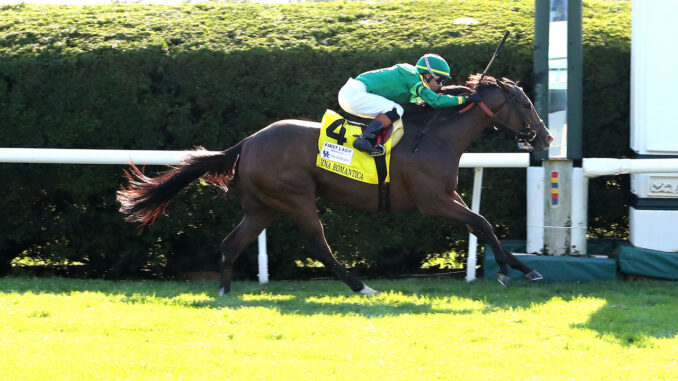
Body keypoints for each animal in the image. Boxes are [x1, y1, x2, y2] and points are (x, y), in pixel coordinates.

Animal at [117, 74, 552, 294]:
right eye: (526, 103)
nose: (546, 138)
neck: (434, 137)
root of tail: (246, 142)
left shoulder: (449, 195)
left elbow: (484, 225)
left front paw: (523, 269)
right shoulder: (433, 200)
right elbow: (481, 224)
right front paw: (509, 271)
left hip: (263, 205)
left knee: (231, 243)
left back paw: (225, 293)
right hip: (295, 198)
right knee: (319, 246)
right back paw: (361, 287)